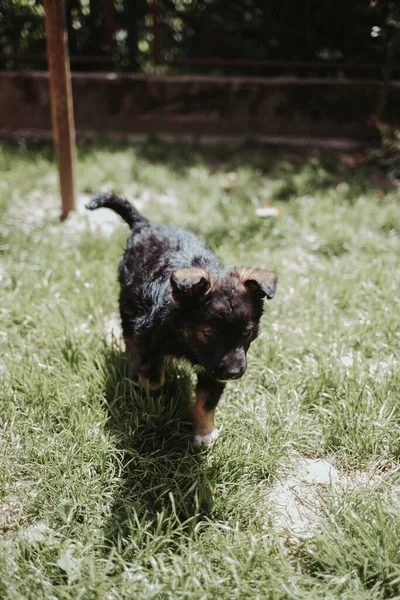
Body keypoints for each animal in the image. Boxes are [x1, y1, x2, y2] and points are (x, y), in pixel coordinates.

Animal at [86, 193, 276, 446]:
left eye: (247, 333)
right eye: (208, 334)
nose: (234, 373)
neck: (183, 336)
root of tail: (146, 225)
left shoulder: (213, 367)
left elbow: (207, 401)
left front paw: (204, 433)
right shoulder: (150, 340)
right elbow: (154, 377)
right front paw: (149, 393)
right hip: (128, 301)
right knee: (128, 336)